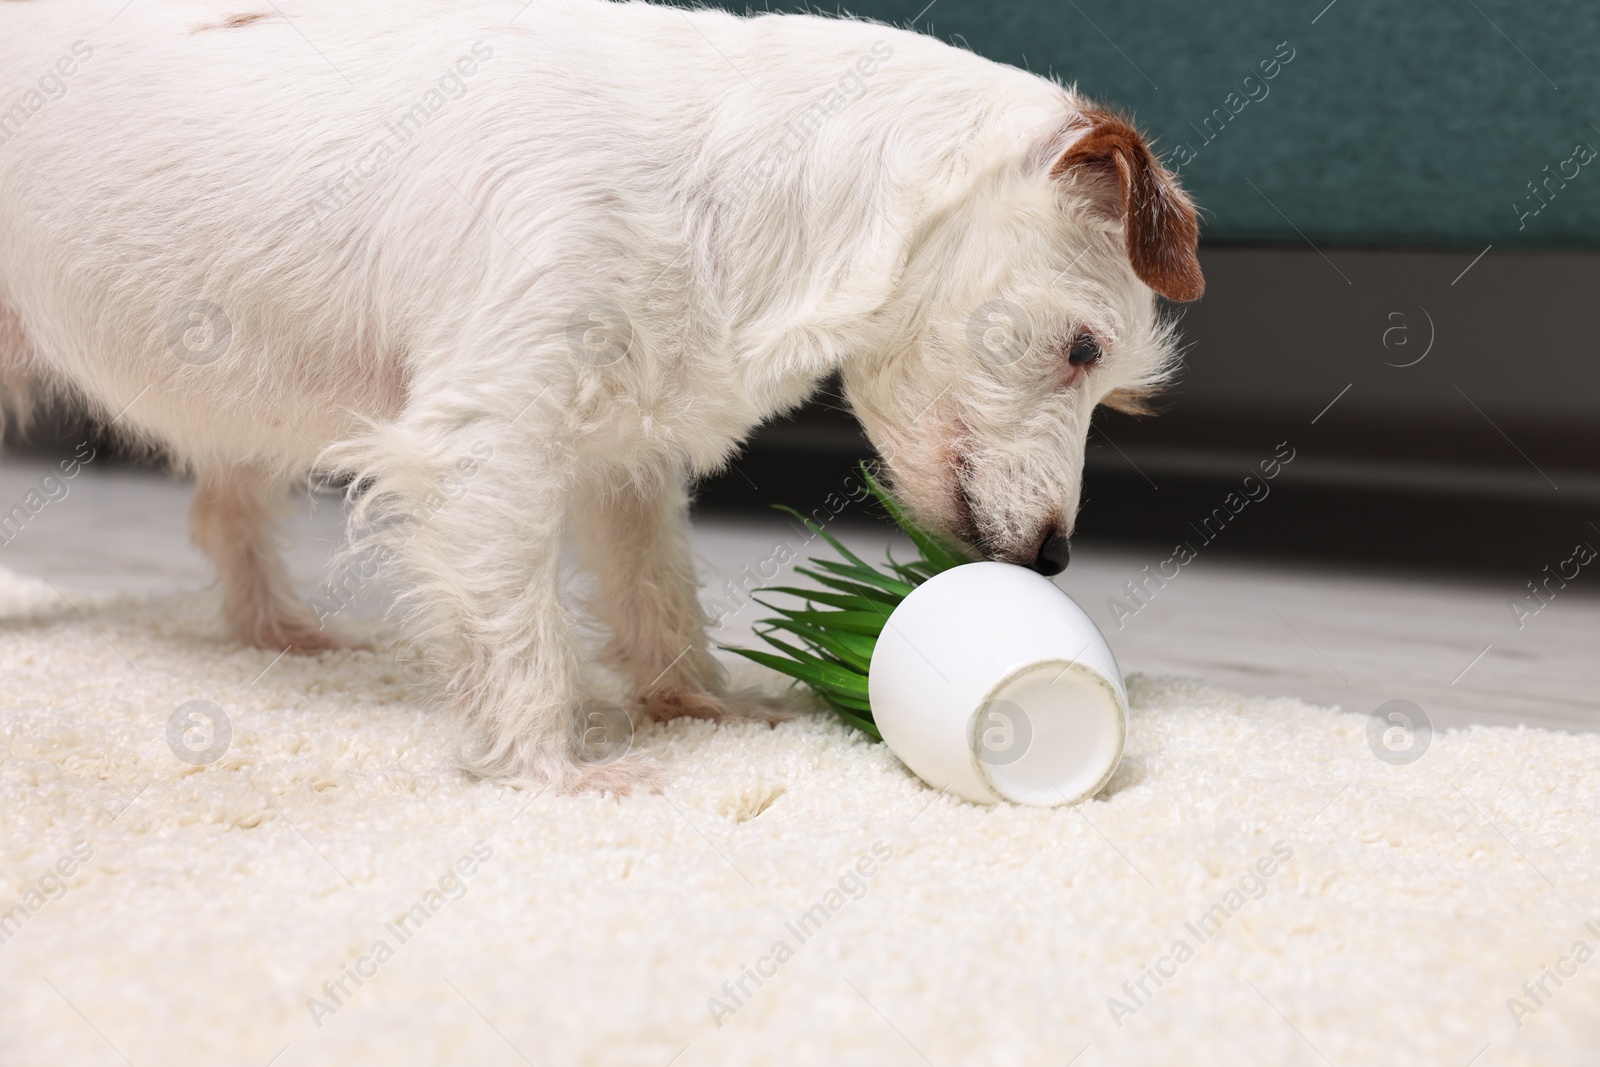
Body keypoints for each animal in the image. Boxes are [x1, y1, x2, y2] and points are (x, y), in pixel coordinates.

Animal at [0, 0, 1203, 790]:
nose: (1053, 555)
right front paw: (555, 773)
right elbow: (519, 628)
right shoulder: (486, 441)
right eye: (1084, 349)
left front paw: (704, 707)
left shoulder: (628, 451)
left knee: (224, 511)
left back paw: (276, 633)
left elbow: (655, 590)